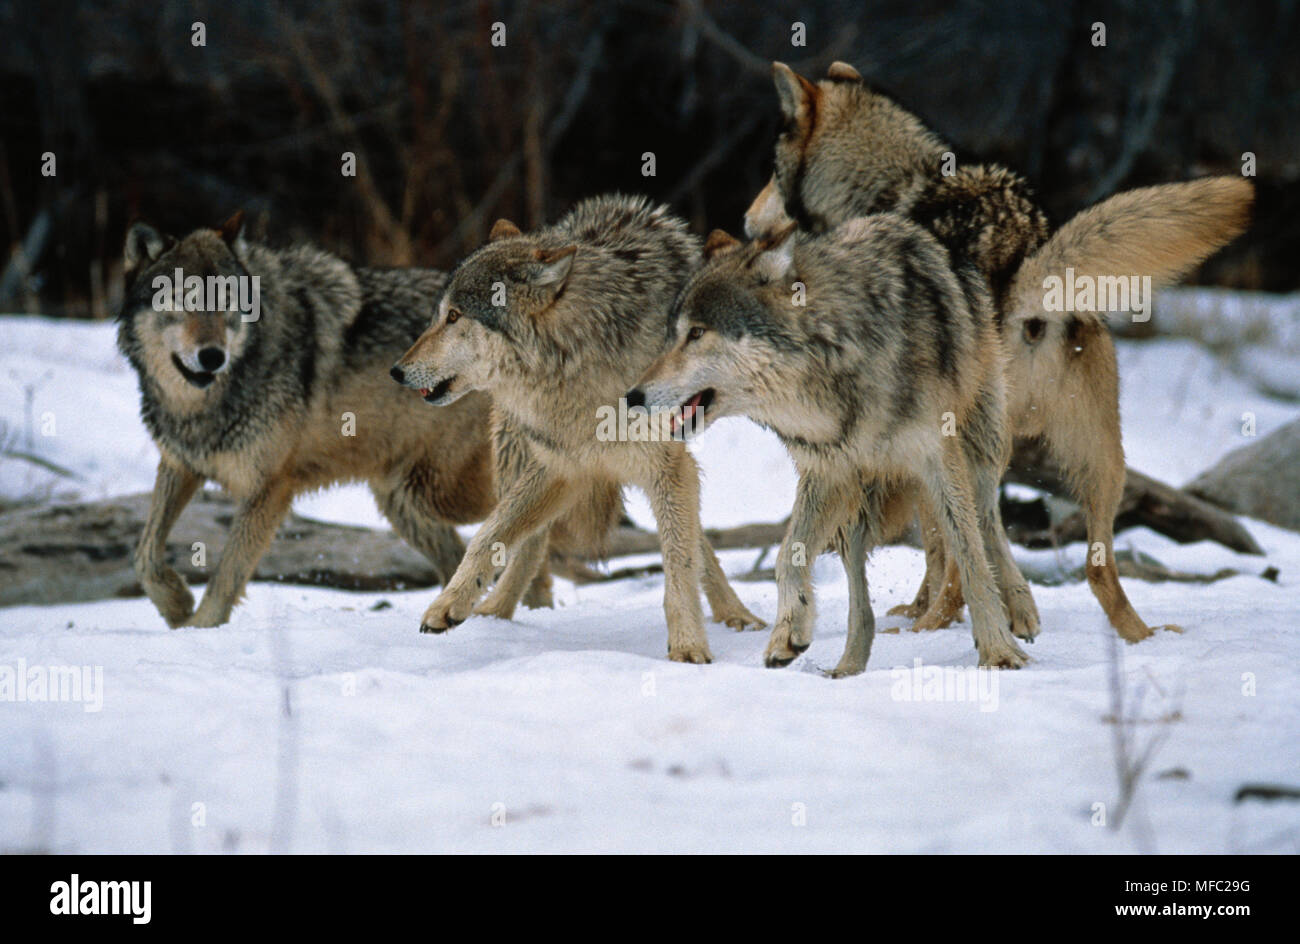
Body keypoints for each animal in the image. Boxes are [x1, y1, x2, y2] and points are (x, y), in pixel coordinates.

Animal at [116, 214, 543, 629]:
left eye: (227, 303)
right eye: (181, 300)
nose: (212, 356)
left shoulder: (269, 489)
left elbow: (225, 577)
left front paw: (200, 628)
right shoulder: (180, 464)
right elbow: (144, 554)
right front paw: (176, 606)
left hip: (440, 492)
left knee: (532, 531)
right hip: (404, 501)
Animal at [390, 195, 764, 663]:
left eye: (454, 317)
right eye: (439, 316)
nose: (396, 371)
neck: (574, 364)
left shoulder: (666, 467)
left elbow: (680, 564)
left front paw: (688, 648)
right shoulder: (564, 468)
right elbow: (488, 536)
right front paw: (448, 604)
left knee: (696, 544)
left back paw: (739, 617)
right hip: (514, 451)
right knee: (529, 545)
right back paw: (494, 615)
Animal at [629, 219, 1034, 681]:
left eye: (696, 333)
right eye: (669, 336)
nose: (632, 396)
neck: (836, 354)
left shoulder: (938, 460)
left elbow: (970, 557)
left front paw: (998, 651)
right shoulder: (825, 470)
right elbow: (787, 556)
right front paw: (789, 633)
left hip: (979, 455)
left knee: (987, 524)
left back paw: (1021, 610)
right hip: (855, 506)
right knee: (861, 597)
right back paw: (848, 668)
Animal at [748, 62, 1253, 647]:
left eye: (771, 172)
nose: (746, 219)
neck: (894, 185)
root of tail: (1021, 279)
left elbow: (941, 550)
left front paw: (931, 614)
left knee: (961, 556)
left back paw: (929, 627)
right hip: (1102, 460)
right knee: (1095, 566)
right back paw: (1141, 635)